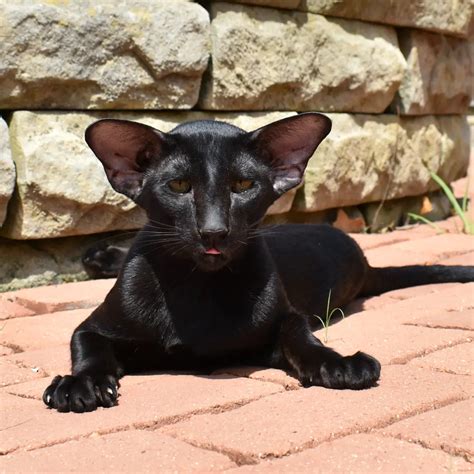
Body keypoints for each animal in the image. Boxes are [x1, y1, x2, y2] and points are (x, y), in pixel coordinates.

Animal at [42, 114, 472, 412]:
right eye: (179, 186)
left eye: (244, 186)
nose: (214, 231)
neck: (198, 288)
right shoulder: (92, 327)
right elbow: (90, 351)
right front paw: (80, 385)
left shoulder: (285, 319)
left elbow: (300, 337)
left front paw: (337, 364)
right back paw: (100, 257)